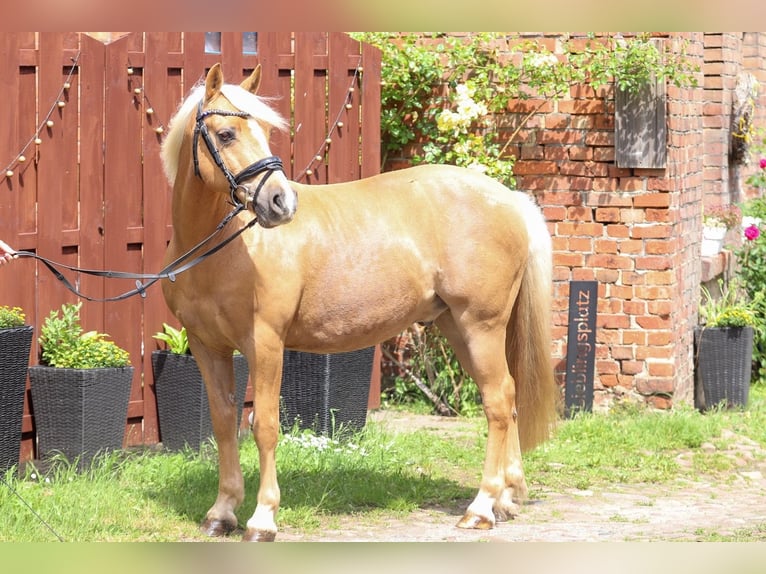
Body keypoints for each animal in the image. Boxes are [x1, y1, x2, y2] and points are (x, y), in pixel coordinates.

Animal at [159, 63, 558, 542]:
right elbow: (223, 424)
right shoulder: (207, 347)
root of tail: (508, 199)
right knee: (505, 397)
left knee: (498, 402)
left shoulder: (265, 343)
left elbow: (265, 426)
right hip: (459, 328)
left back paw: (481, 507)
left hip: (481, 325)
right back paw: (505, 498)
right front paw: (222, 512)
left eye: (264, 132)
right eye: (225, 133)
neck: (228, 248)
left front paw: (263, 518)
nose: (280, 202)